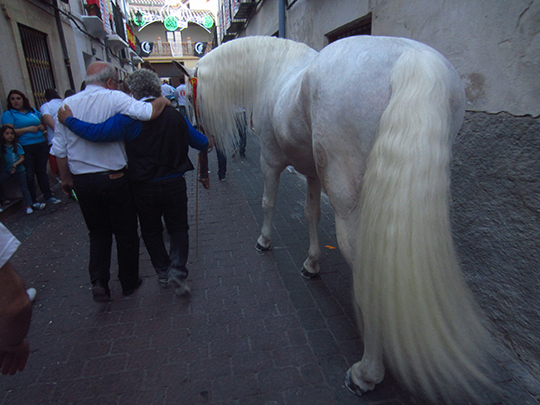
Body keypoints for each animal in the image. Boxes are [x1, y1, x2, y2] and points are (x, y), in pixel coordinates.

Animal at [175, 35, 496, 400]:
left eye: (188, 96)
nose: (199, 137)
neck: (275, 71)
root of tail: (412, 58)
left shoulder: (270, 159)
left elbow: (268, 202)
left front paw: (264, 241)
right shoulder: (313, 172)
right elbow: (311, 213)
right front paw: (312, 264)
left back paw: (366, 373)